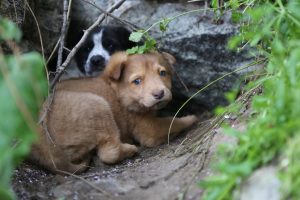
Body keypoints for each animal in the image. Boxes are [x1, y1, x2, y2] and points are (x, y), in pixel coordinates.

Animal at [31, 51, 198, 173]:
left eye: (163, 73)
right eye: (137, 81)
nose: (159, 94)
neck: (118, 93)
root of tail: (46, 149)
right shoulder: (148, 129)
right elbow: (173, 122)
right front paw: (191, 118)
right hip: (98, 107)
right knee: (110, 152)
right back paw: (130, 149)